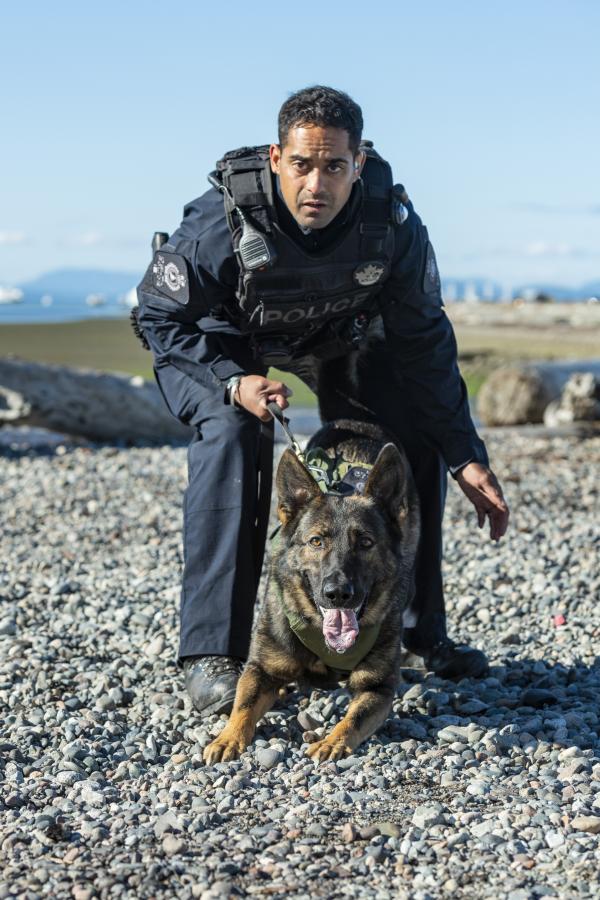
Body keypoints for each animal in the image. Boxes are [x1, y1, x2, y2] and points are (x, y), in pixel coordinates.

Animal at [204, 418, 420, 764]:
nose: (338, 593)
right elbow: (243, 705)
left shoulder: (378, 687)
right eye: (316, 541)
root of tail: (358, 423)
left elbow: (354, 717)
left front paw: (332, 740)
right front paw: (227, 737)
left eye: (366, 542)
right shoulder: (260, 668)